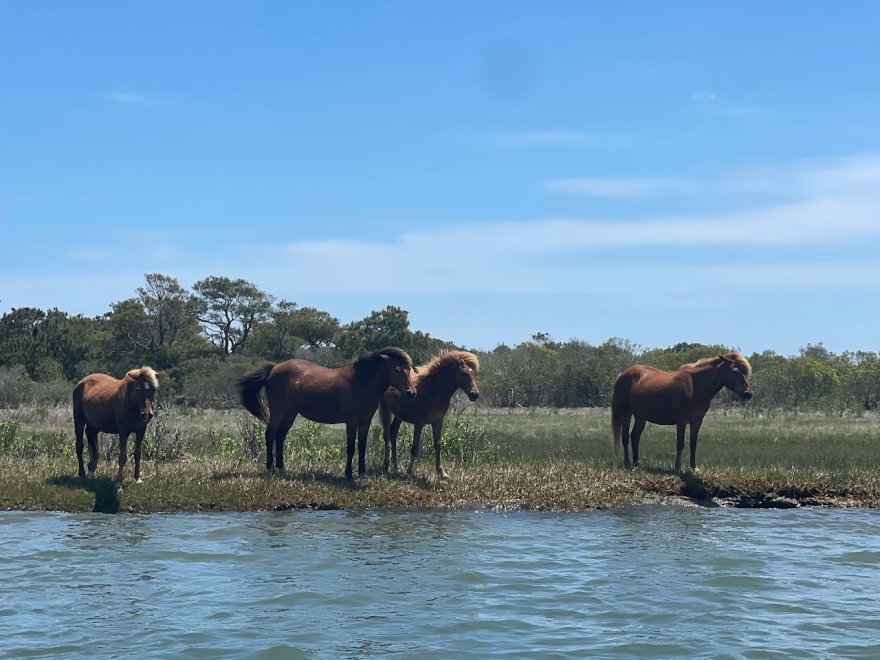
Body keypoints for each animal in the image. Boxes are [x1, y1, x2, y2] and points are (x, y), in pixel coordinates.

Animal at [237, 346, 420, 480]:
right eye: (397, 370)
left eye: (409, 369)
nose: (412, 392)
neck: (361, 381)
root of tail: (274, 367)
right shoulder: (351, 422)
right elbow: (351, 448)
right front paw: (348, 474)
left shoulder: (365, 422)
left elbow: (362, 446)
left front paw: (362, 472)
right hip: (278, 411)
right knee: (270, 435)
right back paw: (270, 468)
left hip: (290, 413)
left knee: (280, 436)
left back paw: (281, 468)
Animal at [376, 350, 478, 480]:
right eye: (463, 373)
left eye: (474, 374)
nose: (475, 394)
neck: (434, 390)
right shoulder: (419, 423)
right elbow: (415, 448)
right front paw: (409, 472)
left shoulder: (438, 422)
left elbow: (438, 445)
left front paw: (442, 473)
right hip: (385, 409)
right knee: (387, 435)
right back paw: (387, 465)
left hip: (399, 415)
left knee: (393, 432)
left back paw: (396, 466)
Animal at [612, 354, 748, 472]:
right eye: (734, 371)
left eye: (745, 372)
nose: (748, 394)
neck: (695, 385)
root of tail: (621, 375)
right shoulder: (681, 421)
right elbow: (680, 443)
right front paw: (678, 467)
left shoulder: (697, 421)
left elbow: (693, 444)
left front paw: (694, 467)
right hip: (626, 414)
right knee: (625, 438)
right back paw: (627, 463)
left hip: (640, 417)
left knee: (635, 437)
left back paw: (637, 463)